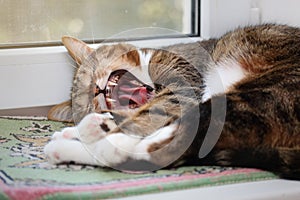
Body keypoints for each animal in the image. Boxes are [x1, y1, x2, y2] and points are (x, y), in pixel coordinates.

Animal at [44, 23, 300, 180]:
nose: (96, 89)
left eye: (92, 71)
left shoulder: (183, 84)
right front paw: (83, 127)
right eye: (87, 101)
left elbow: (152, 115)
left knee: (162, 147)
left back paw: (84, 140)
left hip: (257, 97)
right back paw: (78, 136)